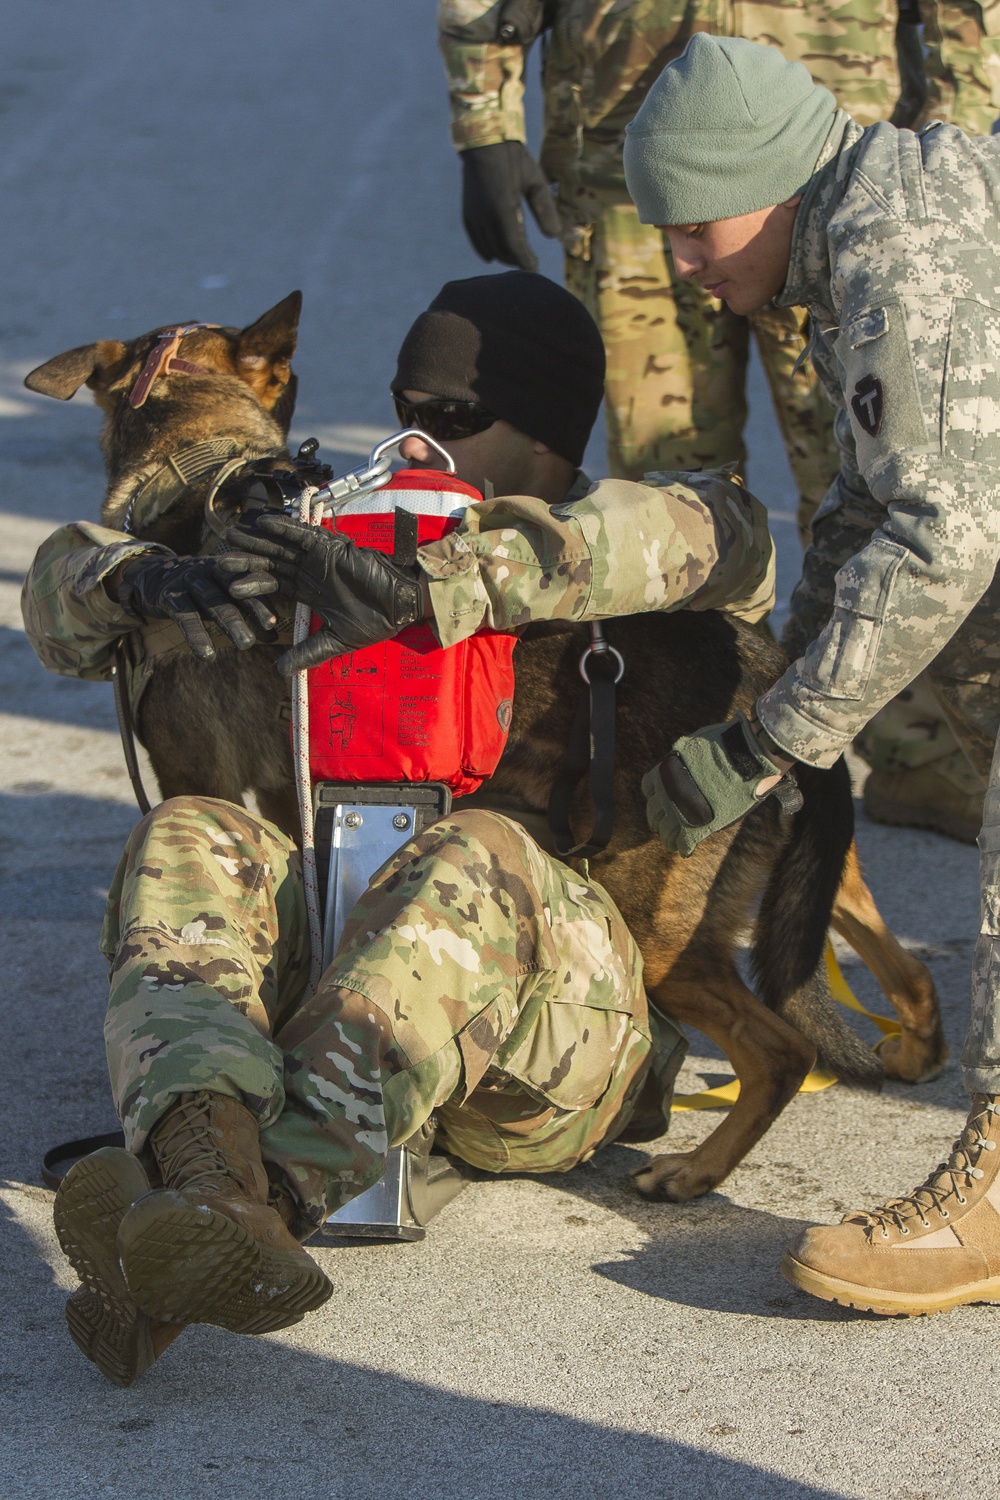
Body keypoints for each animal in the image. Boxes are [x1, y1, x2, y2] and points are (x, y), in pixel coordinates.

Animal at [25, 298, 947, 1200]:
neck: (199, 468)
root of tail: (764, 672)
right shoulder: (295, 793)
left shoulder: (209, 777)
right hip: (794, 880)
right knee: (883, 947)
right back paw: (914, 1041)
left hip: (661, 939)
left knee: (783, 1050)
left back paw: (694, 1169)